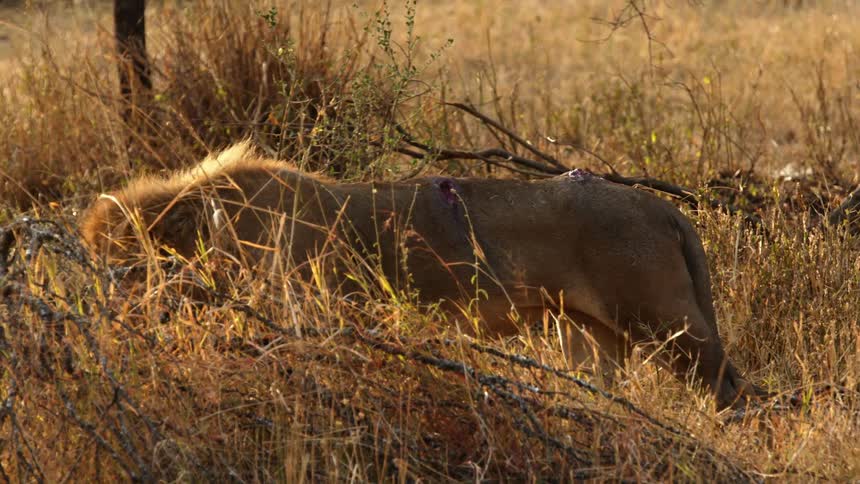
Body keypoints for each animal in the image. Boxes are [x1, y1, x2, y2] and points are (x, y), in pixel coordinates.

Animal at [81, 141, 761, 409]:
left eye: (122, 269)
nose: (103, 321)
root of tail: (663, 206)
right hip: (594, 335)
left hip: (666, 322)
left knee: (733, 390)